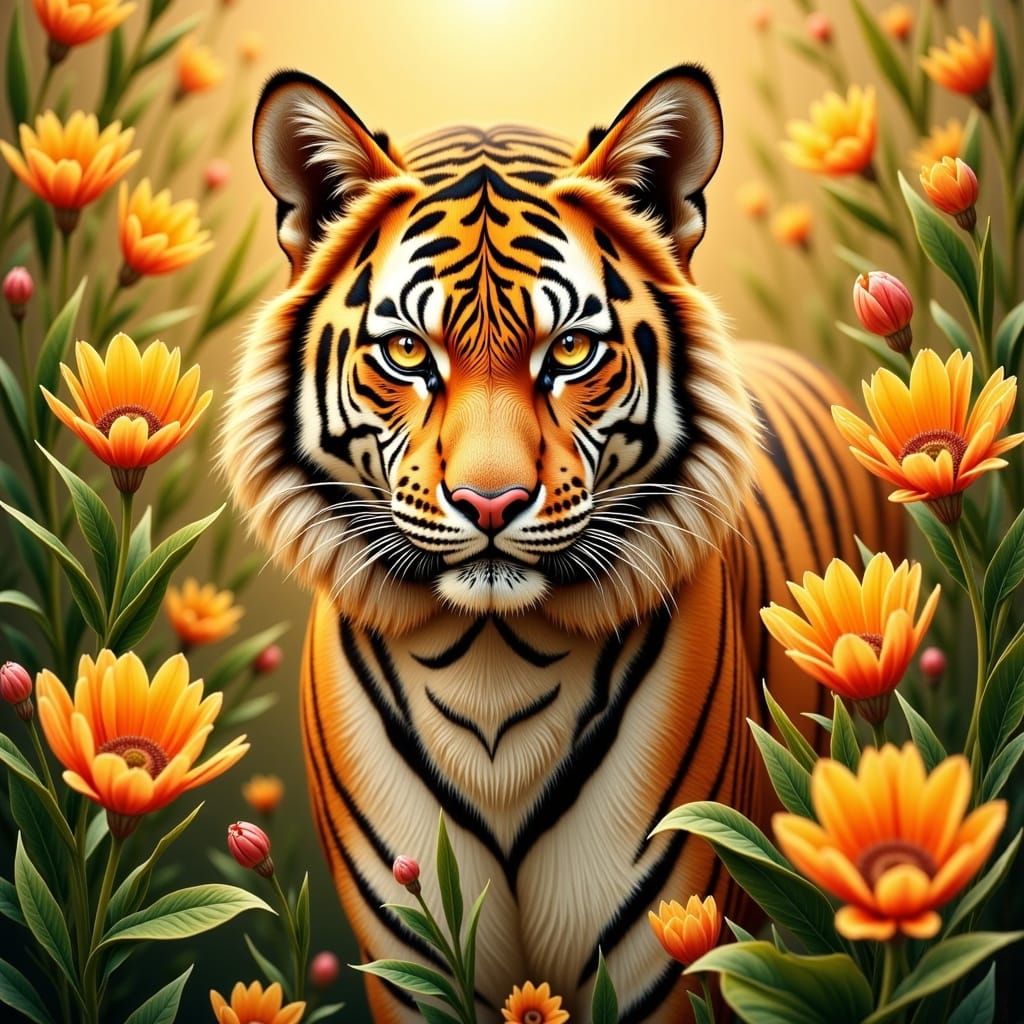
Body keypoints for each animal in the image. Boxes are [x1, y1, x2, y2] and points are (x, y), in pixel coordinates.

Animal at [222, 65, 900, 1022]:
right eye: (408, 353)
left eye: (571, 350)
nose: (491, 501)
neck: (490, 669)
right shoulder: (410, 952)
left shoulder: (668, 941)